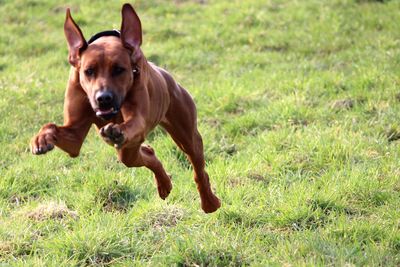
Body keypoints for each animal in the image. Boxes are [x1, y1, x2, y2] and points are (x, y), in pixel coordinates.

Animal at [29, 3, 220, 214]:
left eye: (119, 69)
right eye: (88, 71)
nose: (103, 98)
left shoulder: (138, 119)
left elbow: (133, 123)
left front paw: (117, 130)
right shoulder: (74, 135)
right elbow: (53, 128)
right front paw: (40, 139)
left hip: (186, 133)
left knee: (198, 168)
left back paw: (209, 202)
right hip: (129, 151)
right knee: (147, 154)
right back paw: (164, 184)